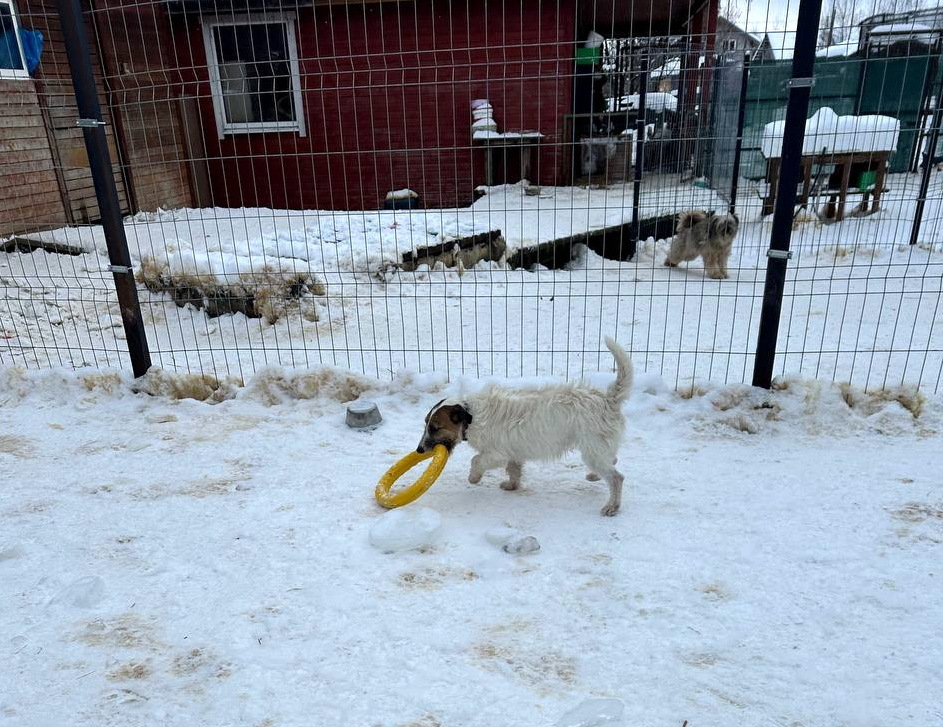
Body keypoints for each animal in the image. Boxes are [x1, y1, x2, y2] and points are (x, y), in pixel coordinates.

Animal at [416, 338, 633, 516]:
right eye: (426, 424)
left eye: (435, 427)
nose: (419, 450)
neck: (472, 416)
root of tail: (607, 399)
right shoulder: (514, 454)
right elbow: (514, 469)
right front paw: (512, 485)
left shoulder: (496, 454)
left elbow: (476, 460)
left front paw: (474, 478)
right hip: (597, 448)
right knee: (611, 459)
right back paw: (595, 475)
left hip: (592, 449)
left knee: (616, 478)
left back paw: (612, 506)